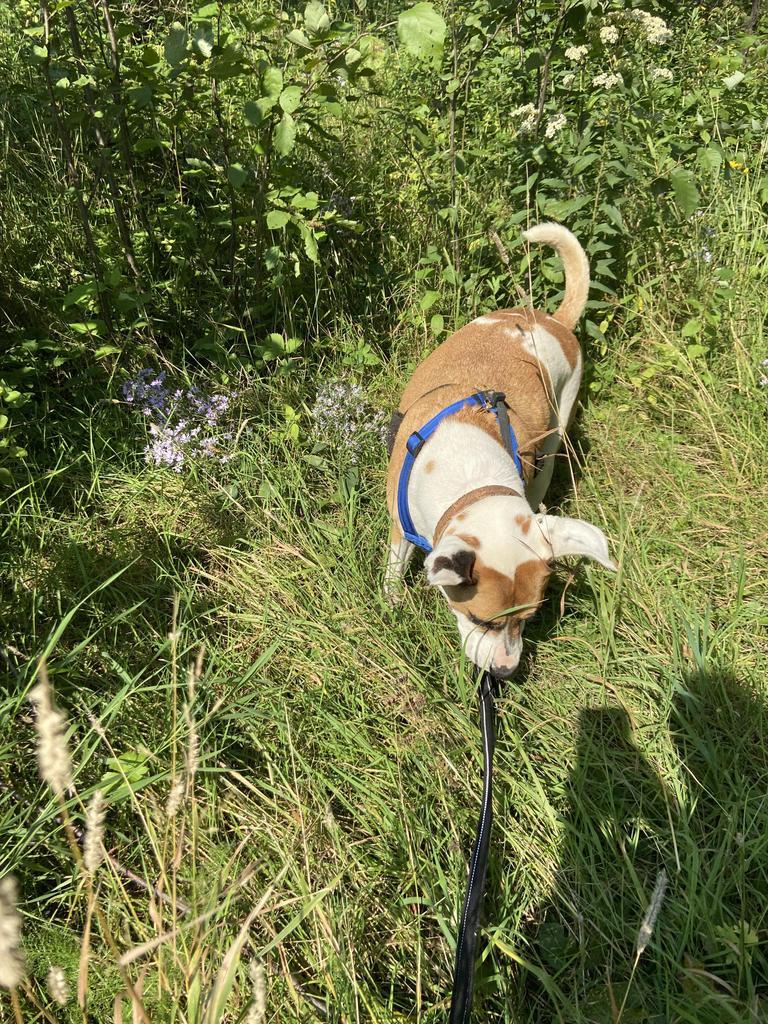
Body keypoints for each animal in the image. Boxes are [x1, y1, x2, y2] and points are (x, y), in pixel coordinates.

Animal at [387, 220, 618, 675]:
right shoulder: (399, 525)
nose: (505, 672)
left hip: (555, 433)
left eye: (529, 618)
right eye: (479, 619)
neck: (471, 479)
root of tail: (553, 321)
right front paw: (390, 604)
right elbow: (393, 570)